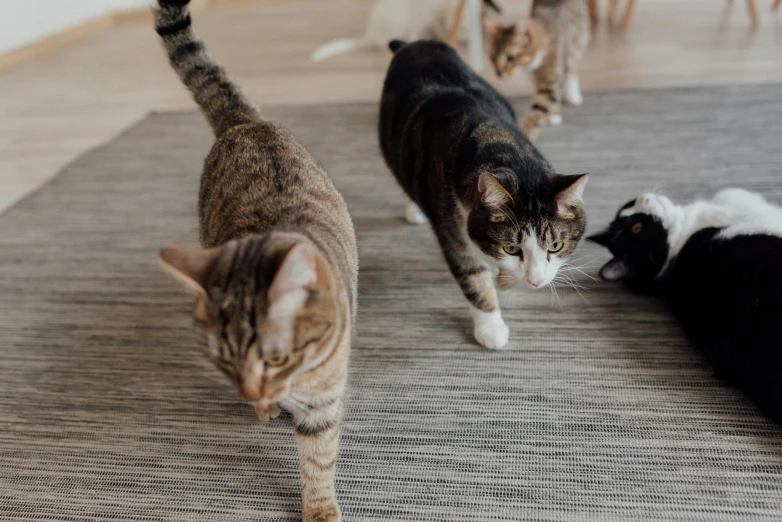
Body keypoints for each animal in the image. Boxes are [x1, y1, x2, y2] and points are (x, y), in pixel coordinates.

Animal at [154, 2, 362, 516]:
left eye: (276, 356)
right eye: (223, 359)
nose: (251, 391)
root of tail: (244, 123)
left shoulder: (324, 395)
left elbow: (318, 457)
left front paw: (319, 509)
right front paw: (264, 406)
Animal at [380, 39, 588, 350]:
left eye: (555, 246)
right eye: (511, 248)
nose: (536, 281)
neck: (502, 148)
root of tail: (415, 43)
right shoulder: (451, 221)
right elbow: (472, 278)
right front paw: (491, 327)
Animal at [486, 0, 592, 140]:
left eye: (510, 57)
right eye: (493, 57)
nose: (498, 73)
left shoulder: (551, 79)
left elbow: (539, 110)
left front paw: (526, 133)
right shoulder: (537, 79)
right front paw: (554, 113)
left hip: (578, 41)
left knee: (572, 68)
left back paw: (573, 94)